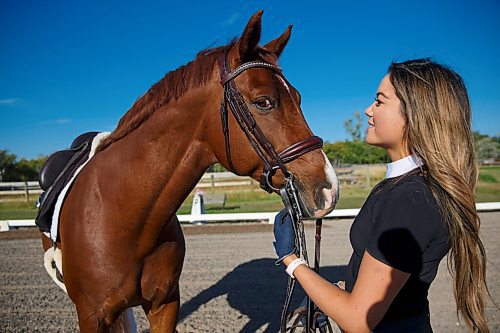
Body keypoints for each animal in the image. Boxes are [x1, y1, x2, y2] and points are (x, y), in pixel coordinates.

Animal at [41, 11, 340, 332]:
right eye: (263, 102)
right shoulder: (91, 315)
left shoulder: (165, 304)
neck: (123, 217)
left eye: (298, 98)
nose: (329, 189)